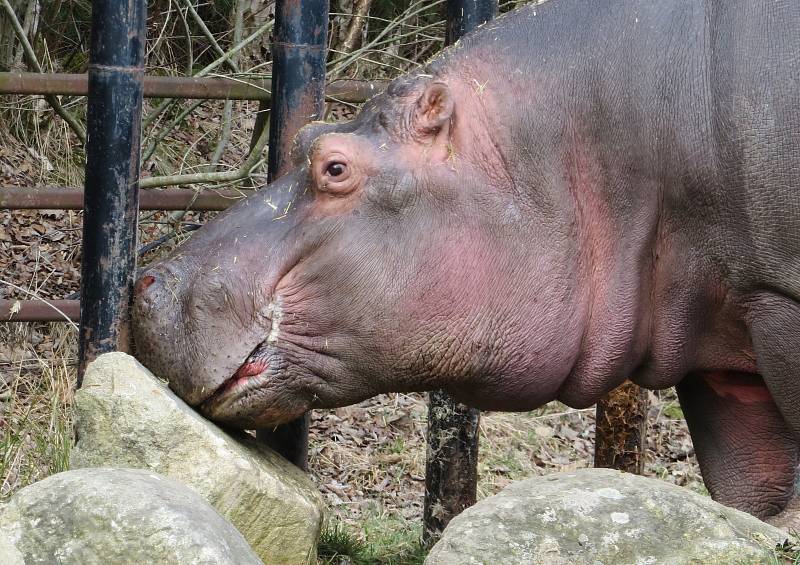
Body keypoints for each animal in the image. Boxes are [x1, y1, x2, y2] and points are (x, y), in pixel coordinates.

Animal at [134, 0, 800, 520]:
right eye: (303, 136)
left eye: (335, 166)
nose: (149, 281)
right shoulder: (723, 359)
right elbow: (750, 495)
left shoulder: (779, 300)